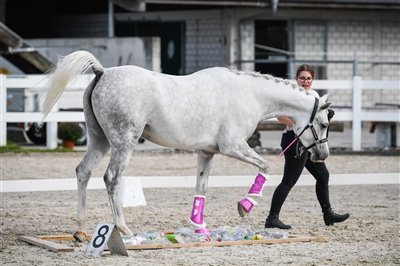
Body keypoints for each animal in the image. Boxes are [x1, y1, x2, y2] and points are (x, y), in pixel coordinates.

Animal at [40, 50, 330, 241]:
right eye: (325, 123)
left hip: (99, 140)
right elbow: (265, 166)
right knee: (111, 178)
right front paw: (245, 205)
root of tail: (103, 72)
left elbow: (201, 188)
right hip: (123, 143)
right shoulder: (233, 147)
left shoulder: (207, 152)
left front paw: (200, 228)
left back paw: (80, 229)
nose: (322, 155)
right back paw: (123, 229)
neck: (250, 93)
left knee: (83, 172)